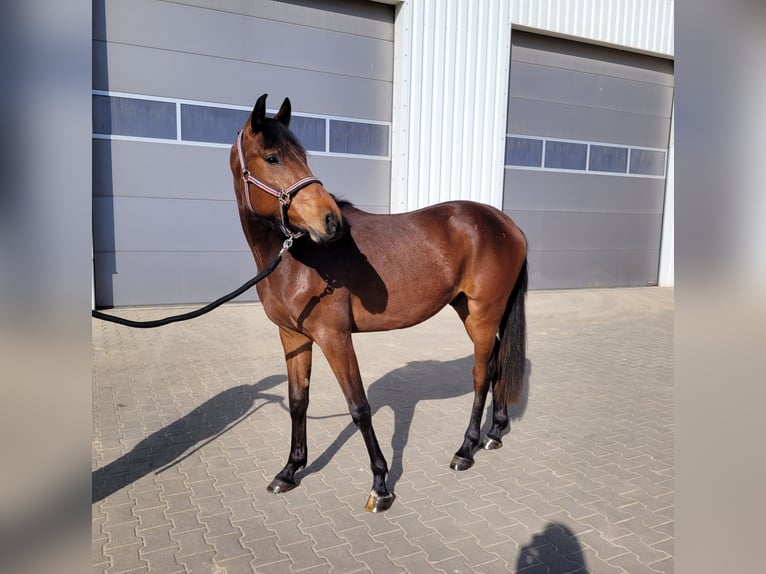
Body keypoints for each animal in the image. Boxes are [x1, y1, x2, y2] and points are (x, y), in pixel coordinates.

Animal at [231, 94, 532, 512]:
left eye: (304, 156)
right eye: (273, 158)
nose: (332, 222)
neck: (298, 256)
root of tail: (507, 224)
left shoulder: (335, 337)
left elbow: (359, 407)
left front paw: (380, 484)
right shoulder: (293, 337)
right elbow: (297, 401)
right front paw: (289, 471)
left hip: (484, 313)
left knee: (482, 373)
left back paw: (466, 449)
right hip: (470, 310)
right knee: (499, 363)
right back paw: (495, 432)